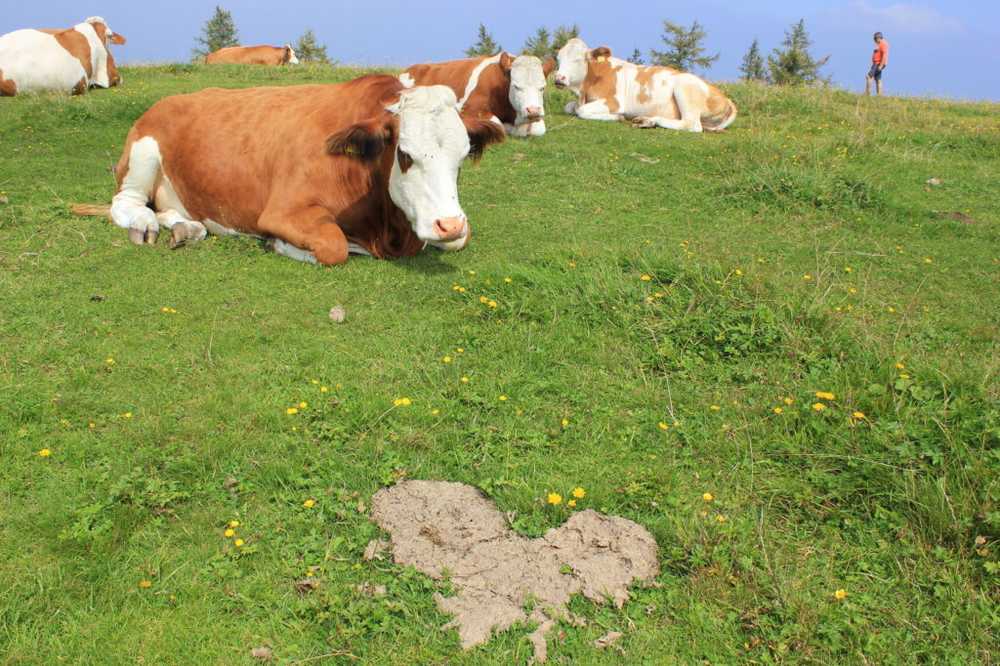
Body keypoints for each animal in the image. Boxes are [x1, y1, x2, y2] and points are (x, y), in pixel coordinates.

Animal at [74, 76, 504, 264]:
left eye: (462, 158)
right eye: (406, 154)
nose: (448, 224)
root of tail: (166, 101)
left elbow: (462, 240)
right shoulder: (283, 211)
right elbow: (333, 247)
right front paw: (279, 244)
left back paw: (186, 227)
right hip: (143, 154)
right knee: (126, 203)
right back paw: (145, 224)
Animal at [398, 51, 556, 137]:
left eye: (542, 88)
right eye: (516, 86)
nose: (533, 110)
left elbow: (539, 129)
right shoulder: (470, 109)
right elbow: (498, 125)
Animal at [552, 38, 740, 134]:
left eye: (578, 59)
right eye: (558, 59)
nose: (558, 78)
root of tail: (726, 98)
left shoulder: (614, 102)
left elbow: (581, 111)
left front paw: (617, 117)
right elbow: (570, 107)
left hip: (684, 87)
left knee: (691, 125)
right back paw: (646, 121)